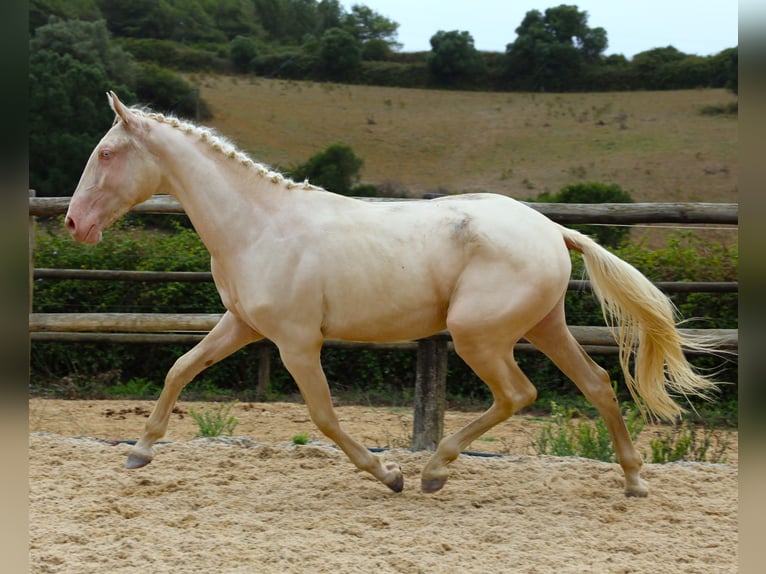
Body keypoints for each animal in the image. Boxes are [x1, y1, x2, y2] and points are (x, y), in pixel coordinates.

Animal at [66, 92, 720, 498]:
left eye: (106, 153)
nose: (74, 224)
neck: (258, 225)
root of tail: (550, 229)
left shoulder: (297, 343)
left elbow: (325, 417)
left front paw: (388, 474)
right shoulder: (243, 325)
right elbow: (180, 368)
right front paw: (139, 452)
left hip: (479, 337)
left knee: (519, 394)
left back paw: (432, 470)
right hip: (543, 326)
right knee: (598, 383)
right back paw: (633, 481)